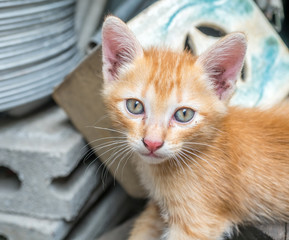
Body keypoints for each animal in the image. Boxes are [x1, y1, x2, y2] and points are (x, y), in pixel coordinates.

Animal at [100, 15, 288, 239]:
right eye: (135, 106)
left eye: (184, 114)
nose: (152, 143)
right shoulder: (158, 210)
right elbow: (142, 228)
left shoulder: (198, 224)